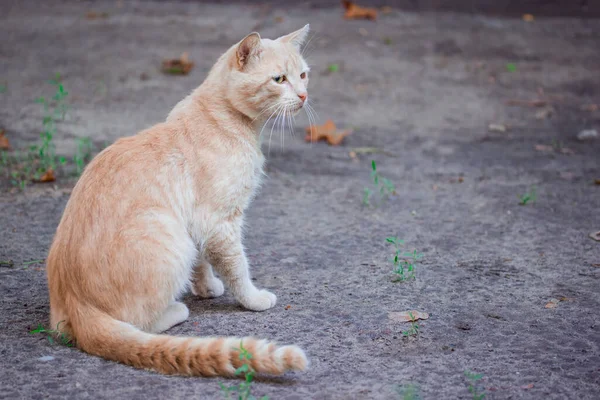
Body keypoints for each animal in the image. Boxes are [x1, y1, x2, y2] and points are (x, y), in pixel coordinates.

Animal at [44, 25, 312, 378]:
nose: (303, 95)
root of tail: (76, 304)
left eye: (303, 75)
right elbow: (237, 267)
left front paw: (206, 287)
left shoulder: (199, 224)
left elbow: (203, 262)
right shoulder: (220, 222)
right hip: (168, 237)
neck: (228, 118)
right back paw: (176, 310)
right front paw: (252, 299)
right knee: (139, 323)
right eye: (279, 79)